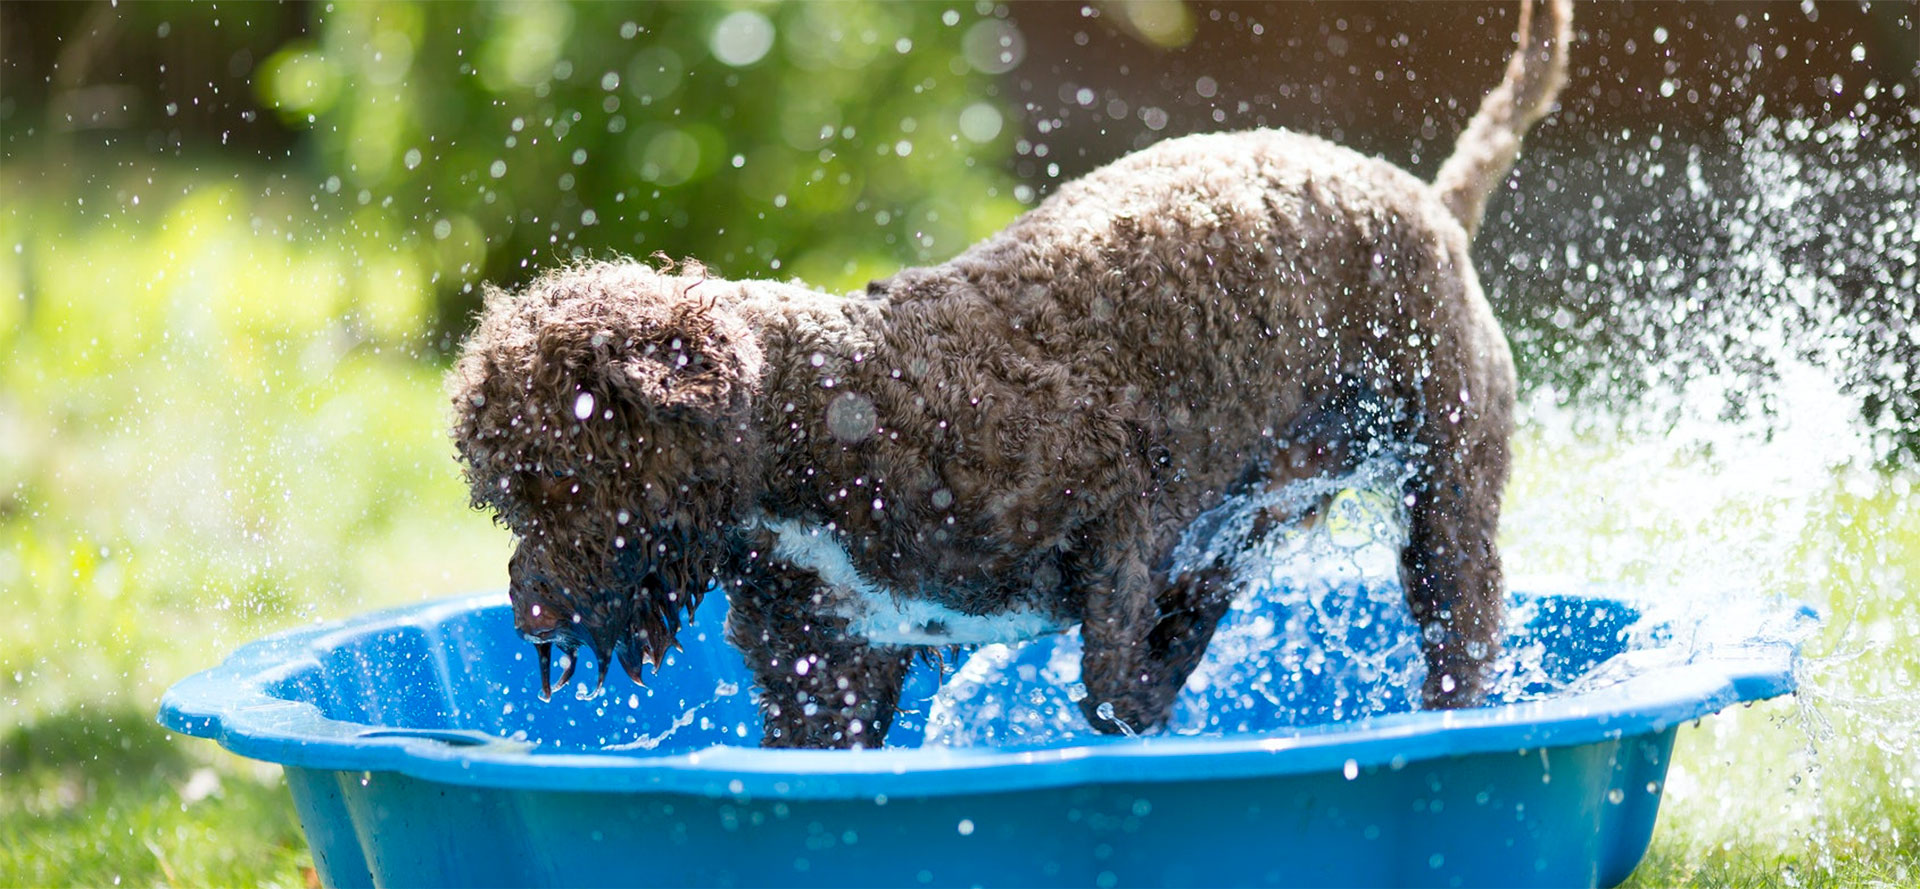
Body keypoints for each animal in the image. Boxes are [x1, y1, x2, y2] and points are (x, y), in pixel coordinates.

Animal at [453, 0, 1574, 752]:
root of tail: (1430, 201)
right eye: (502, 498)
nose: (531, 613)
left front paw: (1160, 683)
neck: (826, 417)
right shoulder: (823, 671)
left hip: (1446, 497)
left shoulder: (1122, 518)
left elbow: (1120, 686)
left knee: (1459, 631)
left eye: (561, 479)